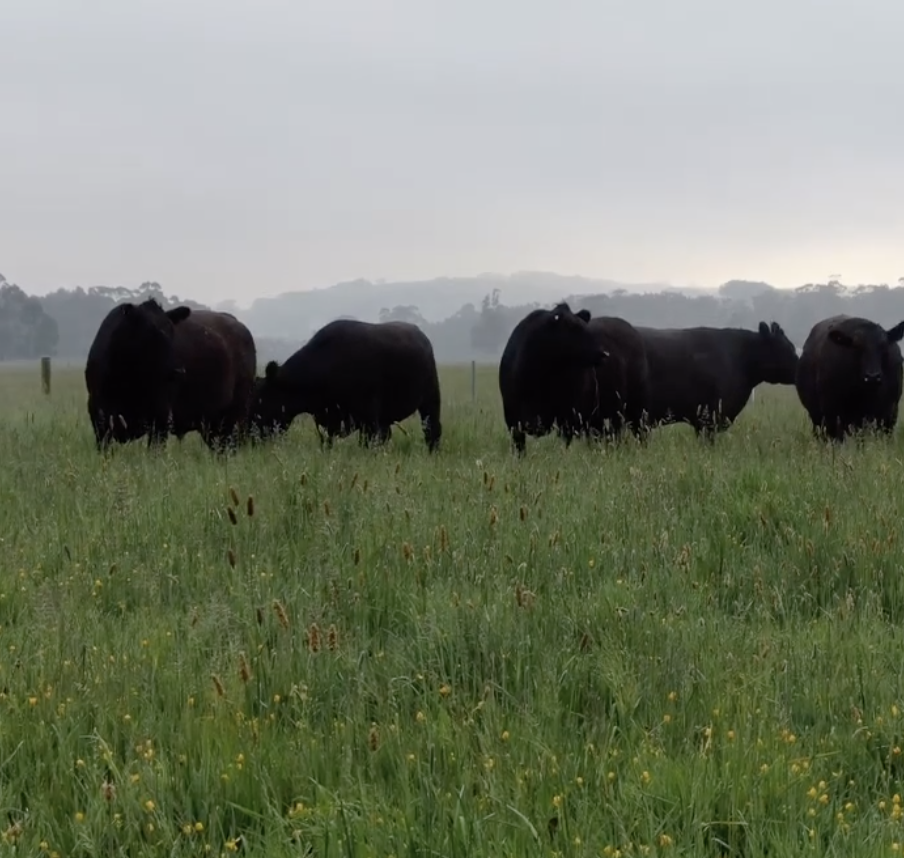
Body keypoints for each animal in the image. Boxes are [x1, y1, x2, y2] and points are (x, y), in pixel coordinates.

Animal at [85, 298, 258, 452]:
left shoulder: (161, 416)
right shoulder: (99, 415)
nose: (179, 371)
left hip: (235, 415)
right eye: (151, 334)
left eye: (171, 332)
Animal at [251, 314, 442, 448]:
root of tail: (421, 335)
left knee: (432, 430)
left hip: (430, 399)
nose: (251, 436)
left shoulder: (368, 416)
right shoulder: (327, 419)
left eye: (261, 401)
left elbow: (367, 443)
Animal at [498, 300, 612, 454]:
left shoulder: (567, 416)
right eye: (572, 328)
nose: (604, 353)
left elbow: (565, 442)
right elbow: (519, 447)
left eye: (585, 326)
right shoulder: (513, 418)